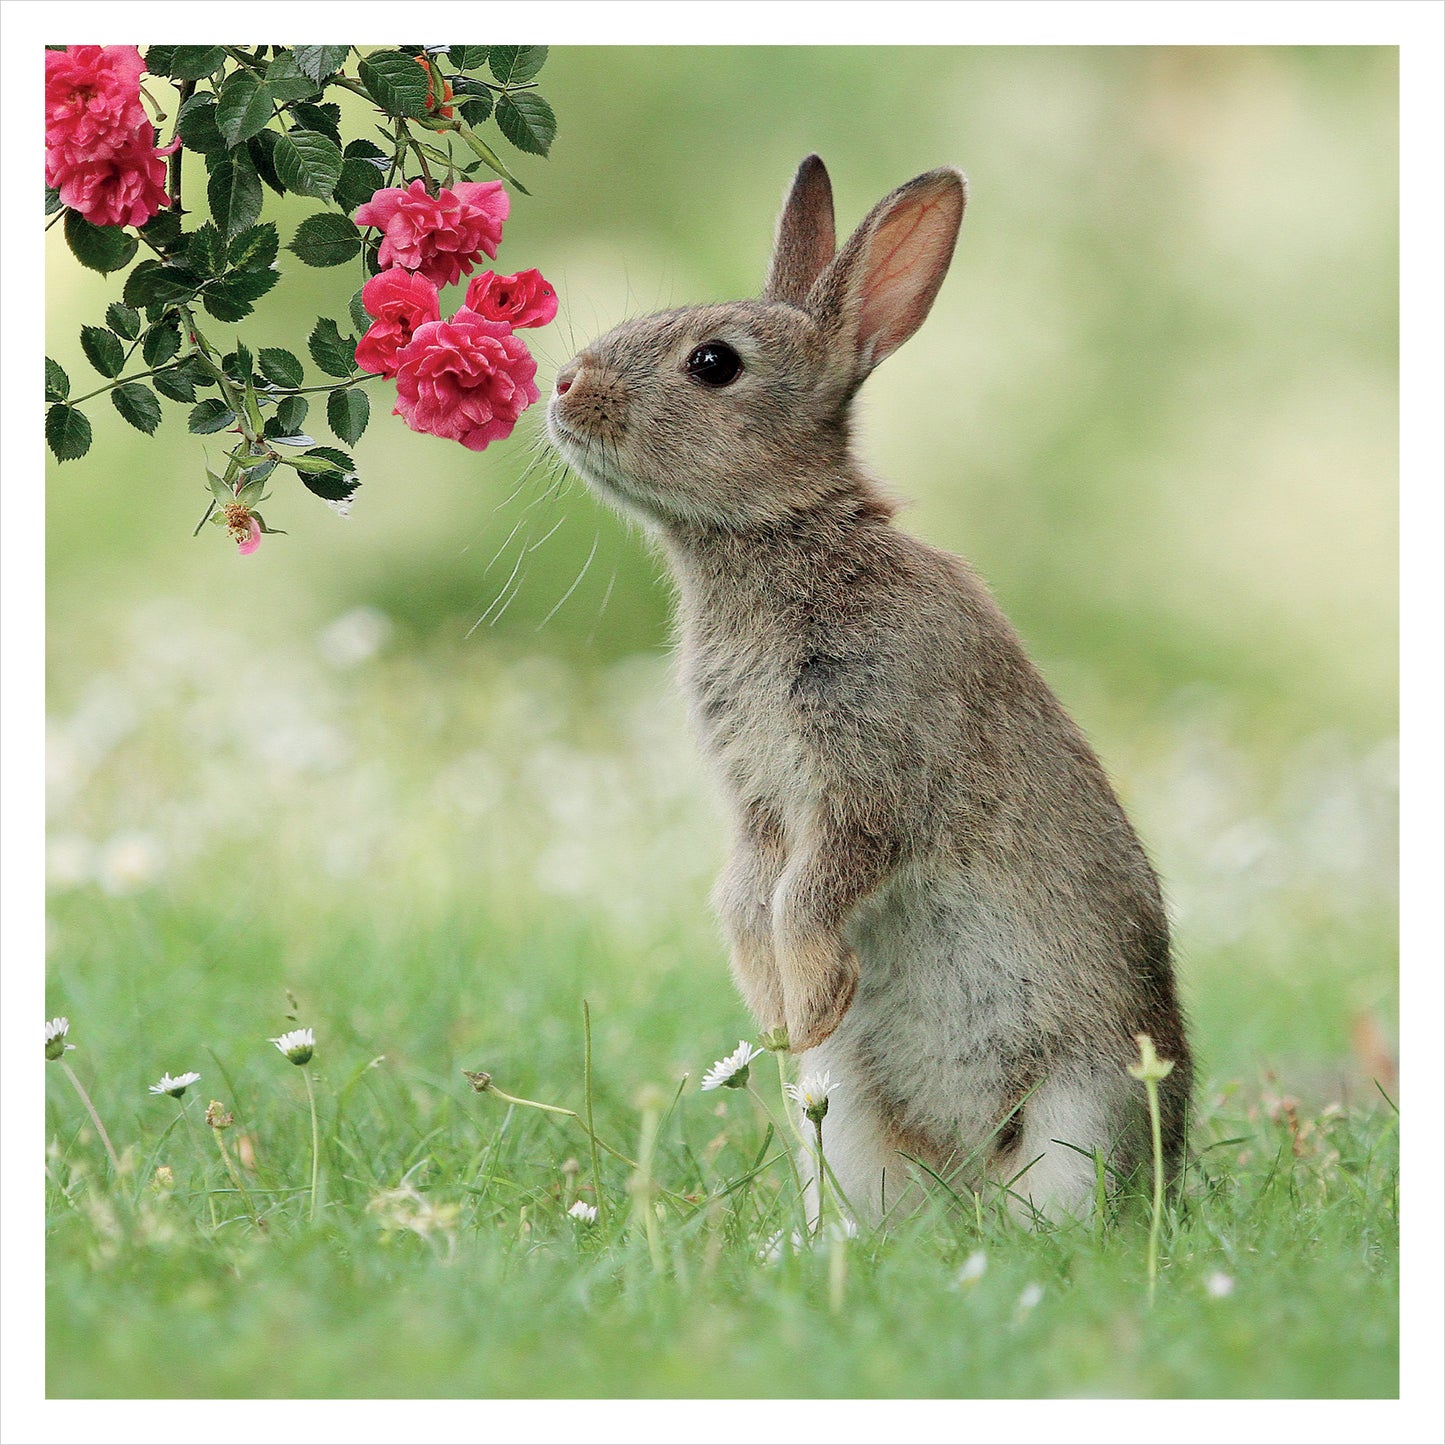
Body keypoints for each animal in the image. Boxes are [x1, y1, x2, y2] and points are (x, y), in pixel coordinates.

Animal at [546, 155, 1191, 1223]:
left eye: (712, 364)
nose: (561, 384)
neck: (784, 535)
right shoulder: (759, 803)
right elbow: (745, 893)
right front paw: (780, 1017)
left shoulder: (870, 770)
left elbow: (812, 890)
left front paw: (806, 1005)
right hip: (847, 1118)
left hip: (1083, 1106)